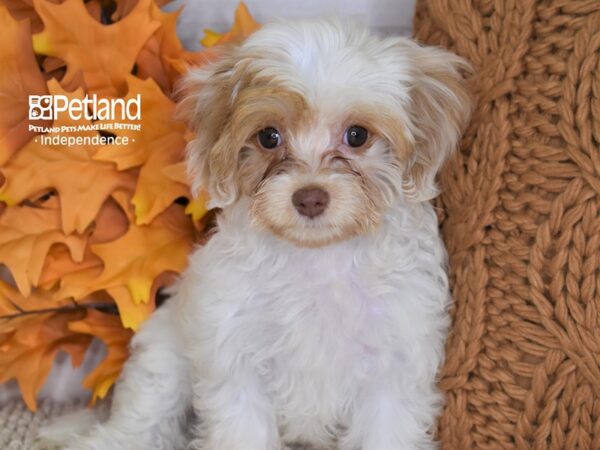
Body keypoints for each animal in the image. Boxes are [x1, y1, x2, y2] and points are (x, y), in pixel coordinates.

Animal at [44, 17, 472, 450]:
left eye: (357, 135)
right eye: (269, 137)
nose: (310, 198)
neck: (318, 258)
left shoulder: (393, 363)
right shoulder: (235, 356)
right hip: (164, 359)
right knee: (141, 418)